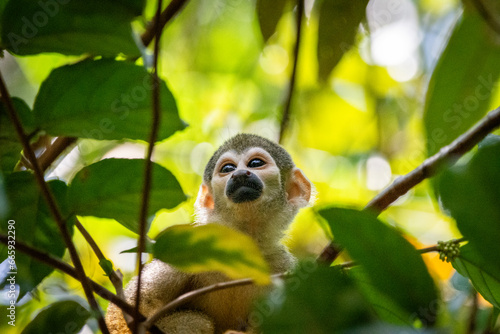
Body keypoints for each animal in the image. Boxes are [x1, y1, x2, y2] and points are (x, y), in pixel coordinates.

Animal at [106, 134, 312, 334]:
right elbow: (133, 306)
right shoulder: (187, 245)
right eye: (228, 168)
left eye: (255, 163)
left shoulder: (284, 267)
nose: (239, 174)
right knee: (197, 321)